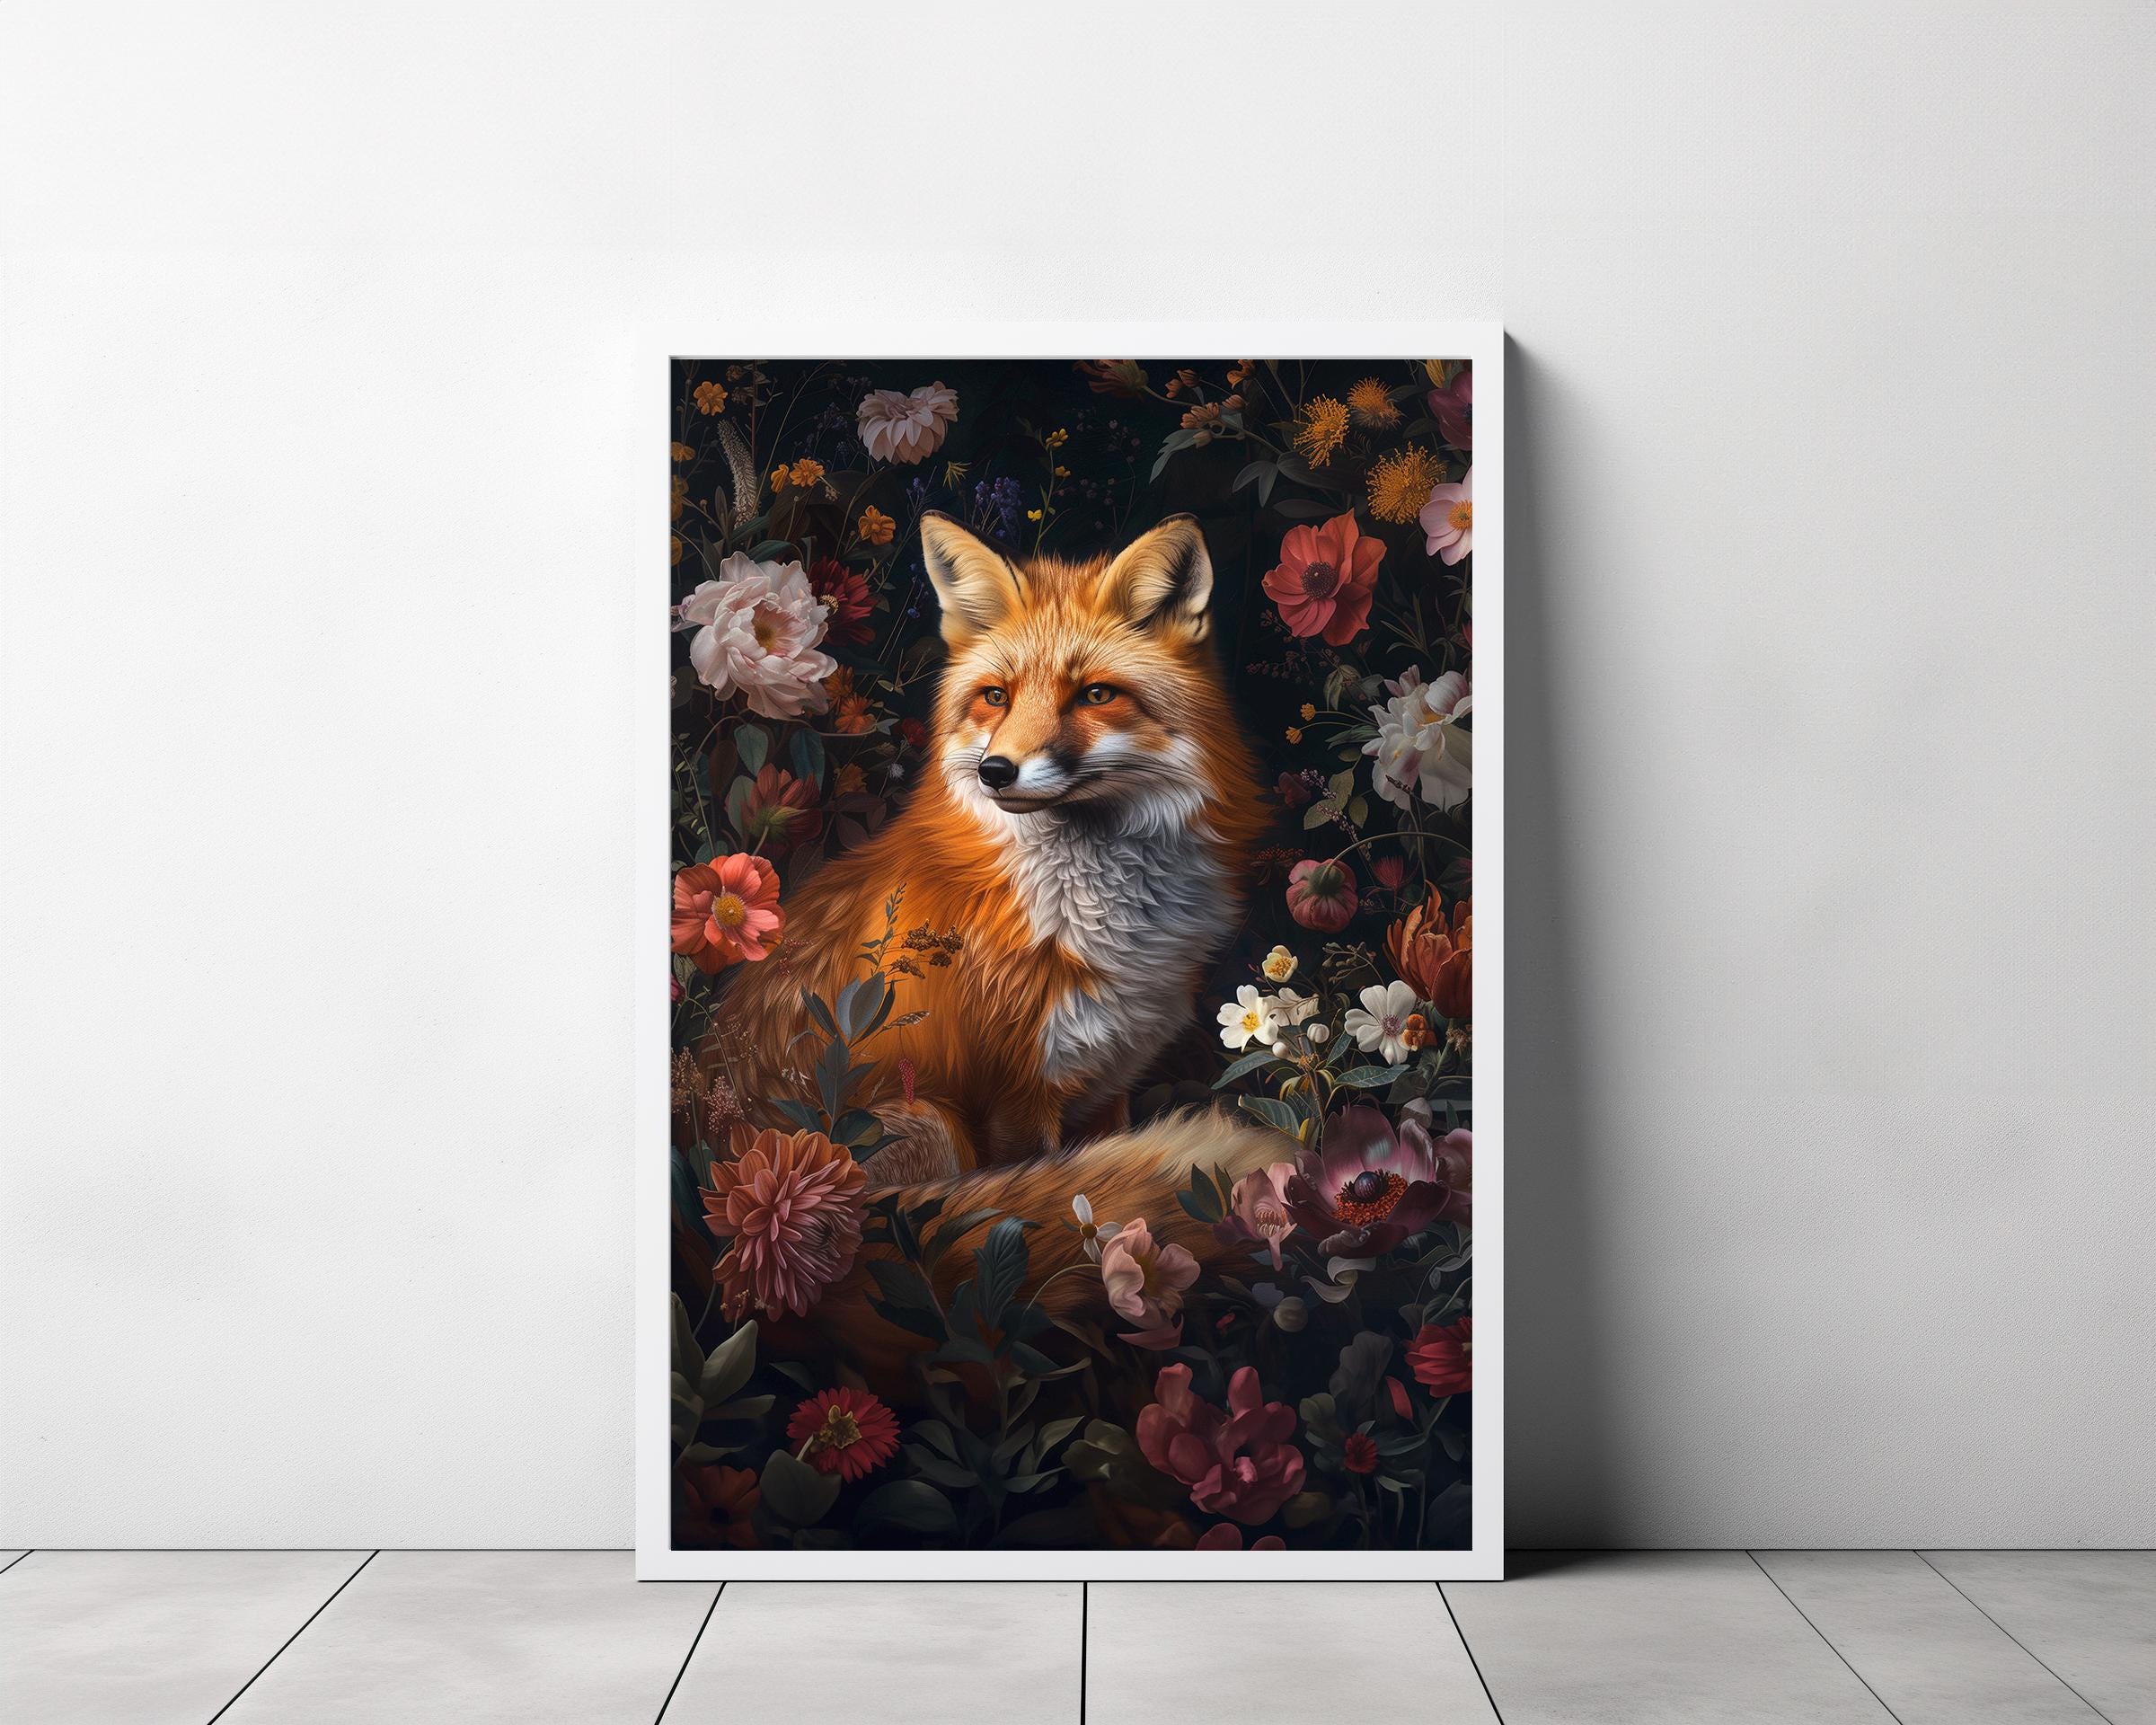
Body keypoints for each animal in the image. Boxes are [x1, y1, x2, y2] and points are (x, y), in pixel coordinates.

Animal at [705, 511, 1292, 1362]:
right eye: (994, 697)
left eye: (1095, 695)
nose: (997, 771)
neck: (1094, 918)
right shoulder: (1014, 1095)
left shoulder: (1108, 1081)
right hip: (926, 1127)